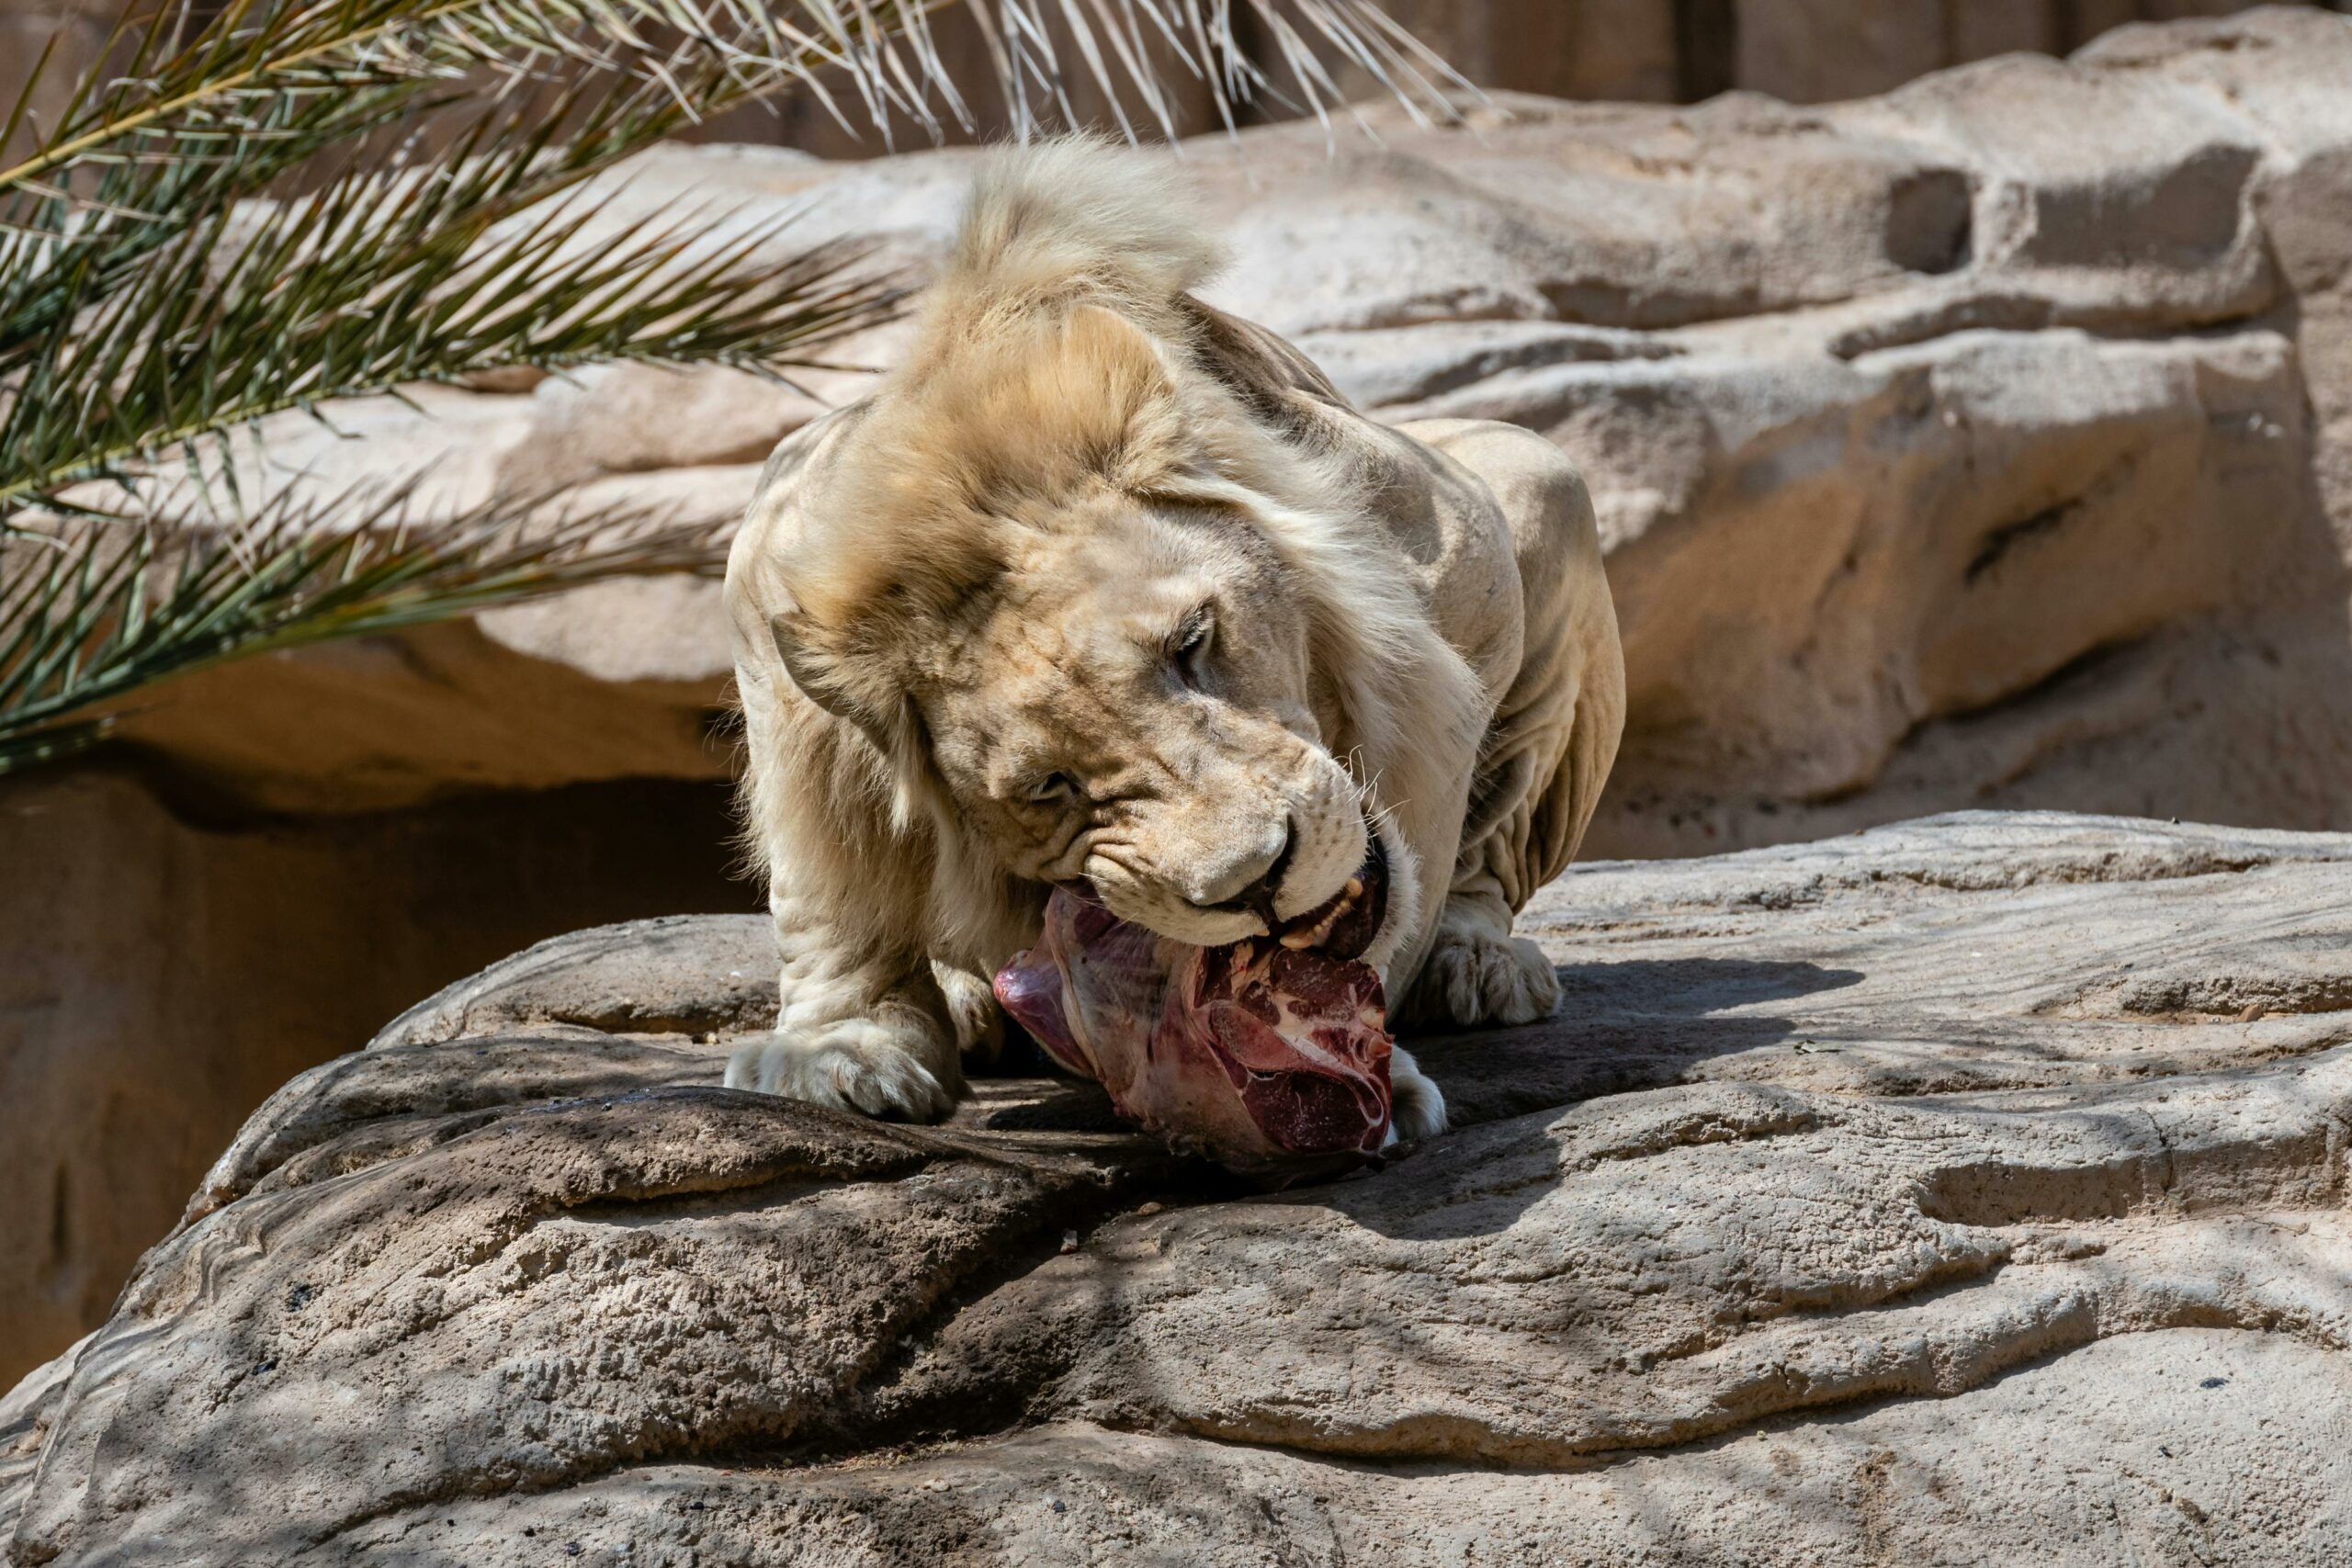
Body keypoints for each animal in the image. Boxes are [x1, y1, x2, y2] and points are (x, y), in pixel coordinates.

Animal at [724, 141, 1627, 1133]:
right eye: (1047, 786)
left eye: (1192, 643)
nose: (1256, 883)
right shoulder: (771, 565)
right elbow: (822, 883)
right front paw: (844, 1049)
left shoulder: (1465, 544)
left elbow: (1433, 813)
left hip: (1545, 478)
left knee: (1491, 848)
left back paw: (1478, 965)